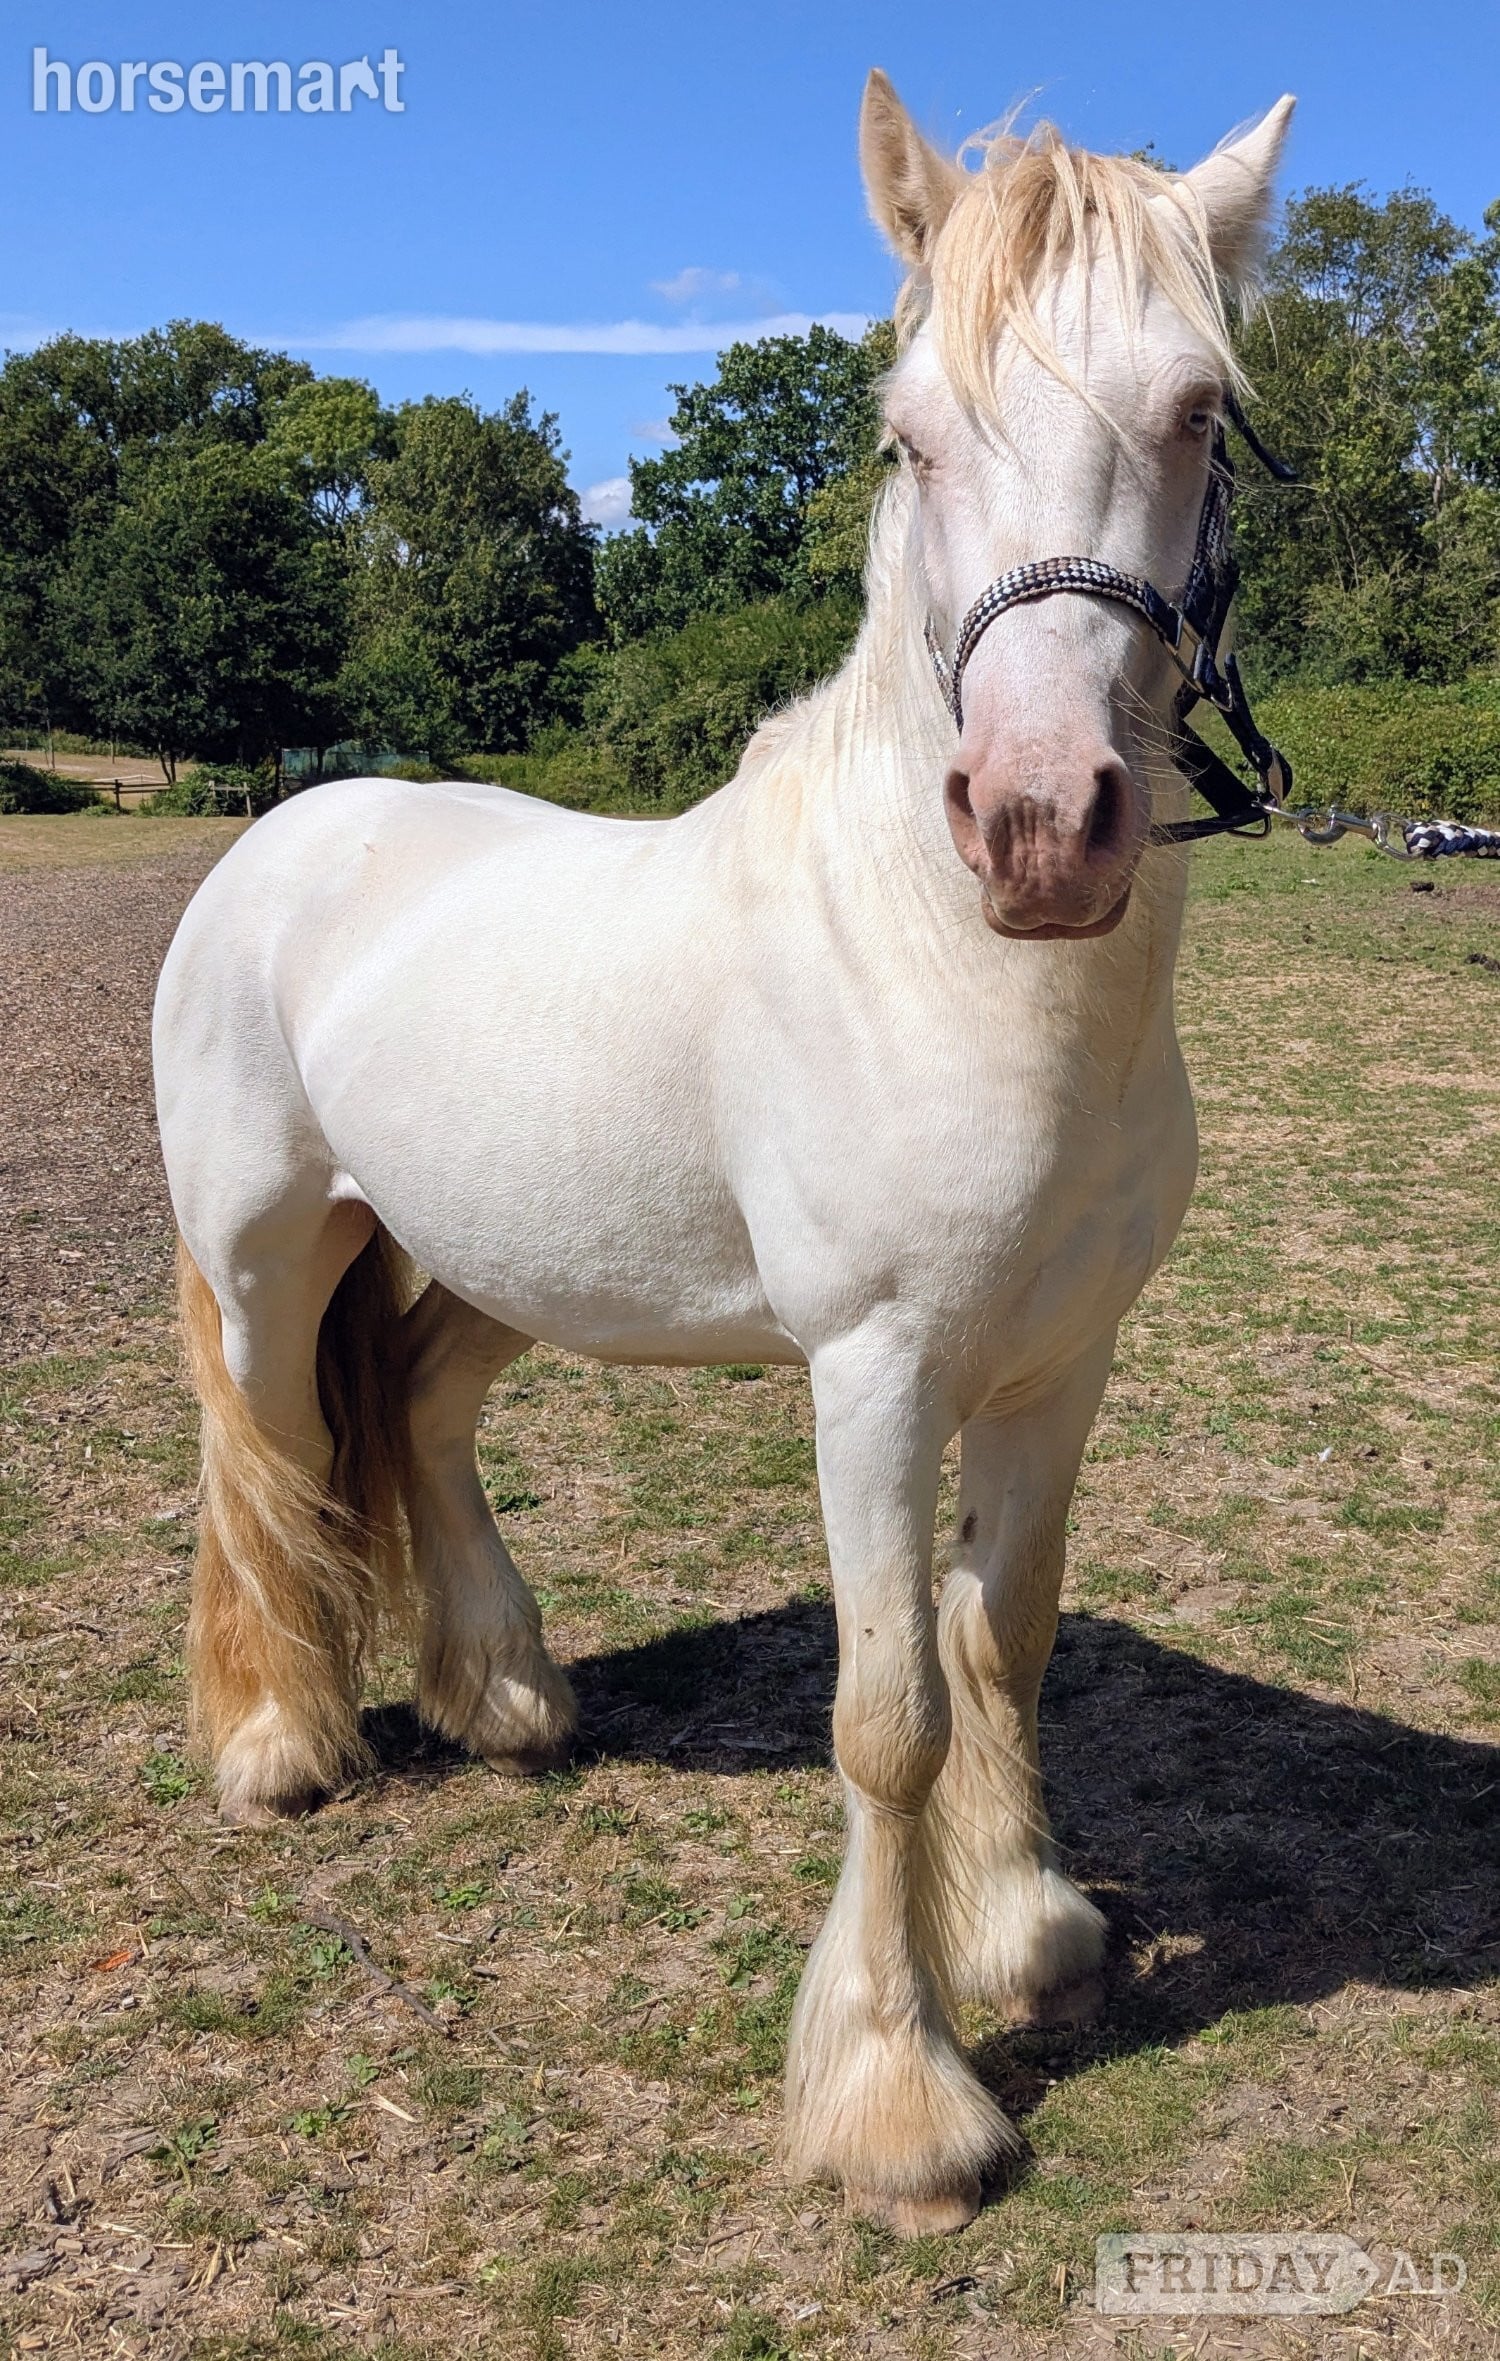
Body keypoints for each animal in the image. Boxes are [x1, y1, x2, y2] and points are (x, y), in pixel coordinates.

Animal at [153, 72, 1295, 2234]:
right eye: (909, 432)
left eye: (1201, 409)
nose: (1044, 825)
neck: (946, 963)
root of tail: (288, 829)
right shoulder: (877, 1374)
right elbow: (890, 1710)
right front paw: (903, 2104)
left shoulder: (1059, 1363)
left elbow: (1004, 1638)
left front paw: (1029, 1934)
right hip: (266, 1252)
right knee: (264, 1451)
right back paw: (278, 1745)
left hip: (491, 1259)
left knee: (415, 1413)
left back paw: (508, 1698)